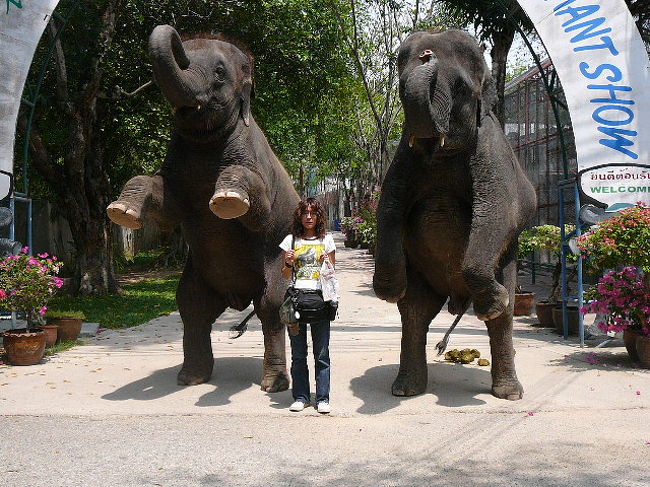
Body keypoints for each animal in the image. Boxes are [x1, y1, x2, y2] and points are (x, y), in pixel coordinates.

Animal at [107, 25, 298, 392]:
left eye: (220, 73)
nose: (175, 38)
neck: (205, 142)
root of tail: (237, 298)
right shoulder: (176, 167)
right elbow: (167, 207)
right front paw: (121, 211)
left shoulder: (258, 166)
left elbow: (260, 215)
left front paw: (227, 199)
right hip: (198, 275)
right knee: (191, 307)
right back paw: (191, 378)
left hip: (279, 262)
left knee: (270, 305)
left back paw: (273, 384)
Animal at [372, 31, 536, 404]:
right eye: (400, 86)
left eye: (460, 87)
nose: (427, 55)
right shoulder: (404, 155)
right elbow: (388, 207)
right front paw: (389, 290)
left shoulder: (491, 146)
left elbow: (501, 211)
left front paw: (494, 302)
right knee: (415, 313)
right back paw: (406, 389)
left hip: (506, 263)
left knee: (503, 319)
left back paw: (508, 391)